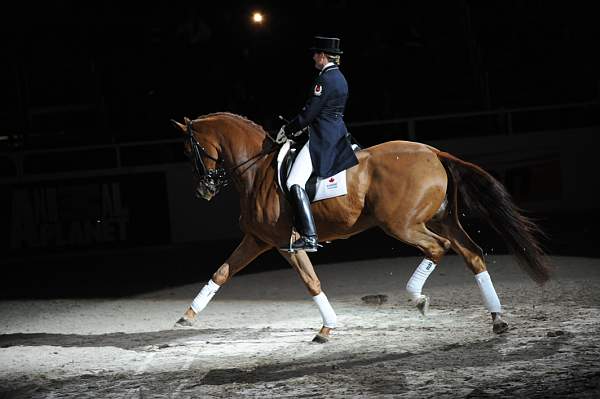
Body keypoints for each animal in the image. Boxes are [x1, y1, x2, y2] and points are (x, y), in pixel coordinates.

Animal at [171, 113, 552, 344]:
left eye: (191, 149)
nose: (203, 190)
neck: (258, 170)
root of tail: (433, 152)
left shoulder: (282, 243)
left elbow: (311, 282)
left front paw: (326, 329)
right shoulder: (257, 239)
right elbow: (222, 272)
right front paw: (187, 317)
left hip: (402, 224)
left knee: (437, 248)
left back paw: (419, 299)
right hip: (442, 218)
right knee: (472, 255)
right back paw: (497, 319)